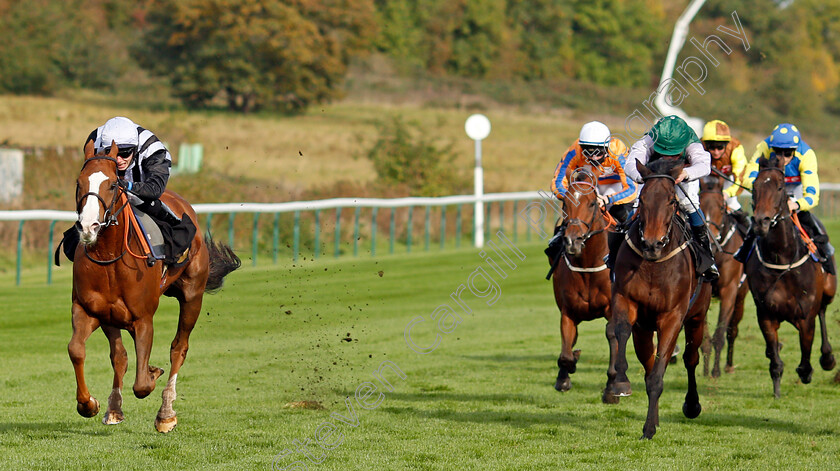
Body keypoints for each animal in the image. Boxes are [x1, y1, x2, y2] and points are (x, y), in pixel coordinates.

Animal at [68, 142, 240, 434]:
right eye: (79, 183)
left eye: (113, 184)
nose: (89, 227)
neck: (109, 257)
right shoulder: (90, 311)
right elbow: (78, 350)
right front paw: (89, 404)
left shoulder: (143, 318)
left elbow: (142, 383)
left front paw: (153, 374)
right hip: (112, 318)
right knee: (120, 356)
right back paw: (115, 408)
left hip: (192, 296)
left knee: (178, 348)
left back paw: (166, 413)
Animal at [552, 171, 612, 392]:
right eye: (565, 203)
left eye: (592, 203)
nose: (573, 241)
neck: (587, 267)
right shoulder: (568, 312)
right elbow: (566, 354)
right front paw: (565, 375)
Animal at [604, 160, 708, 440]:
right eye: (643, 198)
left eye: (672, 200)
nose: (652, 243)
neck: (653, 265)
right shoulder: (626, 300)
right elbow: (621, 331)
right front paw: (619, 382)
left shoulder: (673, 316)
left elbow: (660, 374)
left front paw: (649, 428)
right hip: (644, 330)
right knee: (648, 360)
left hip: (697, 317)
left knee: (690, 359)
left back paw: (692, 405)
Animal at [700, 175, 752, 378]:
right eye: (699, 203)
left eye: (721, 207)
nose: (709, 240)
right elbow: (704, 337)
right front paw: (706, 370)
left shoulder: (729, 291)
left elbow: (720, 334)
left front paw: (715, 371)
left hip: (741, 296)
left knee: (733, 330)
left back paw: (729, 365)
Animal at [748, 156, 832, 398]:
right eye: (755, 187)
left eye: (779, 187)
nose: (761, 222)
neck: (781, 261)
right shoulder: (766, 314)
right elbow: (776, 361)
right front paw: (776, 390)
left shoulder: (805, 316)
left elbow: (805, 358)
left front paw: (807, 372)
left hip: (829, 290)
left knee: (823, 311)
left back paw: (828, 357)